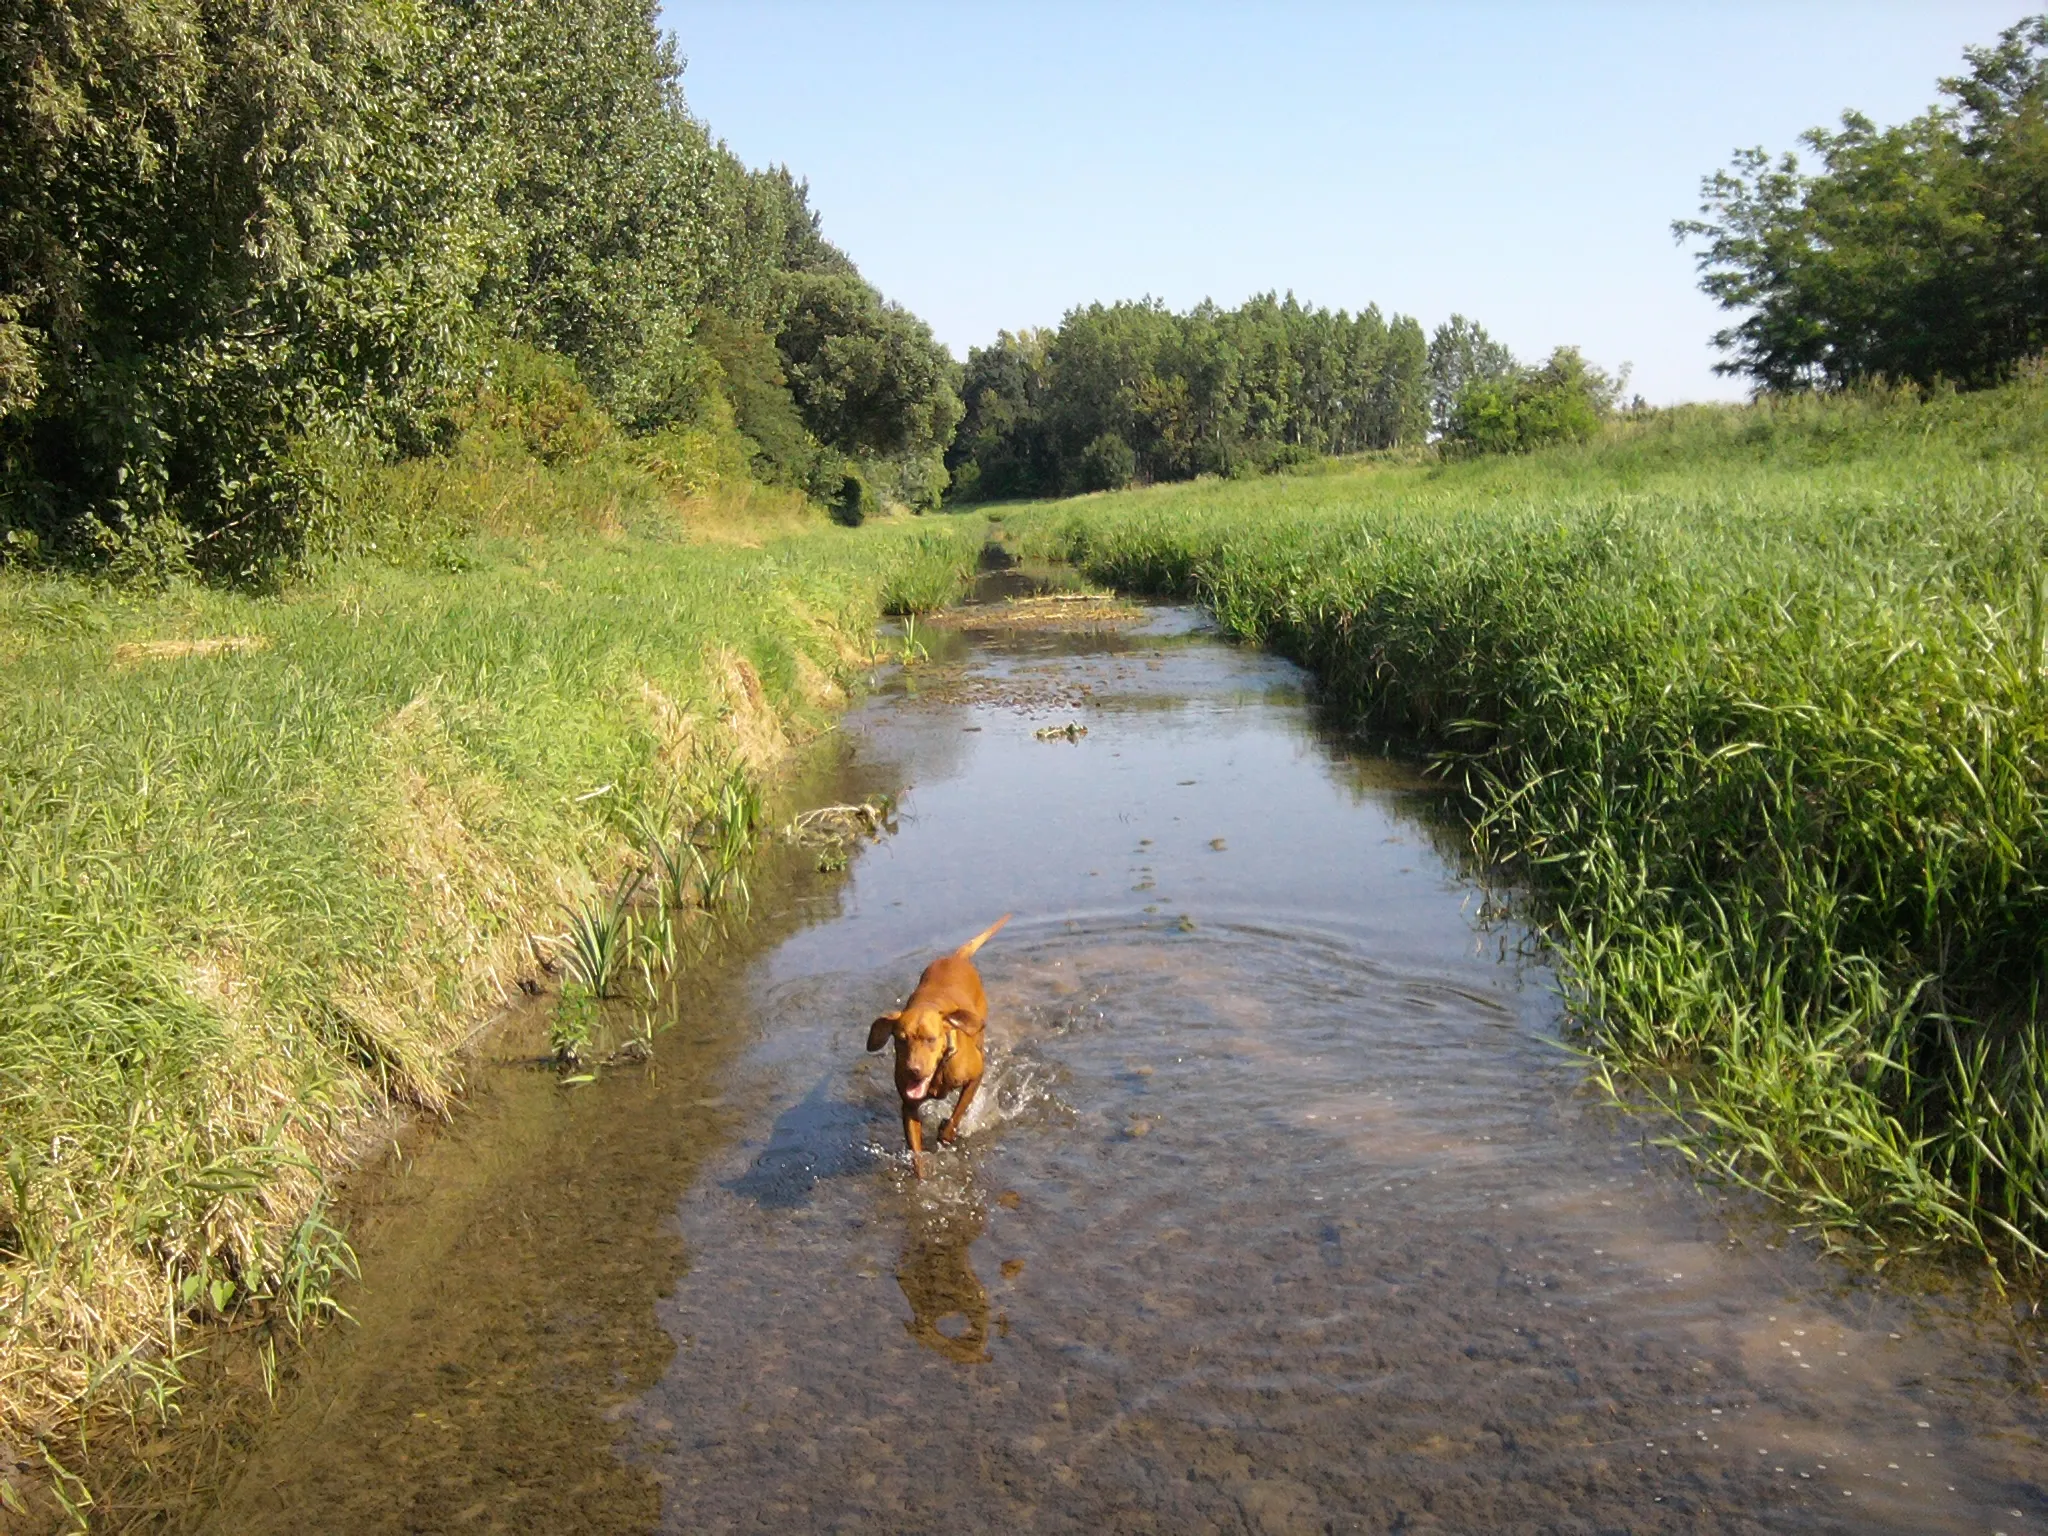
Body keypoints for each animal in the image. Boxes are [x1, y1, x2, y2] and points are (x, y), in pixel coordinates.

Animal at [868, 913, 1011, 1179]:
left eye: (931, 1039)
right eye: (900, 1039)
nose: (913, 1070)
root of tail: (956, 957)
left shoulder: (975, 1075)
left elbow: (958, 1112)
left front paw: (947, 1132)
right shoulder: (908, 1106)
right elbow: (916, 1152)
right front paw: (921, 1177)